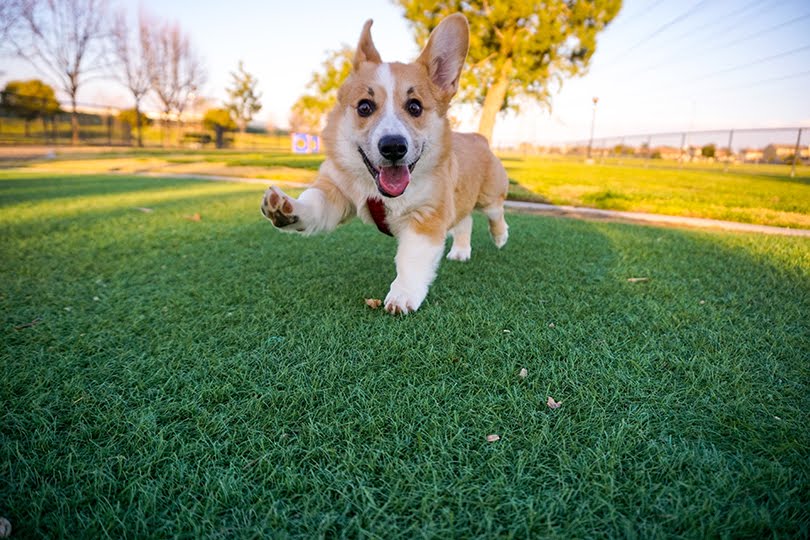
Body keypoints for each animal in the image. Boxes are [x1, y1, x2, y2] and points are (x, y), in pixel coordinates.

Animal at [262, 12, 508, 314]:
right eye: (364, 106)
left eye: (415, 106)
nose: (393, 147)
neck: (378, 191)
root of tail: (478, 137)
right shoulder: (336, 192)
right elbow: (314, 204)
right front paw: (286, 209)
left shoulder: (426, 217)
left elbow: (411, 260)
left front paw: (402, 295)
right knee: (465, 221)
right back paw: (461, 251)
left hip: (489, 194)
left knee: (495, 212)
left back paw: (500, 237)